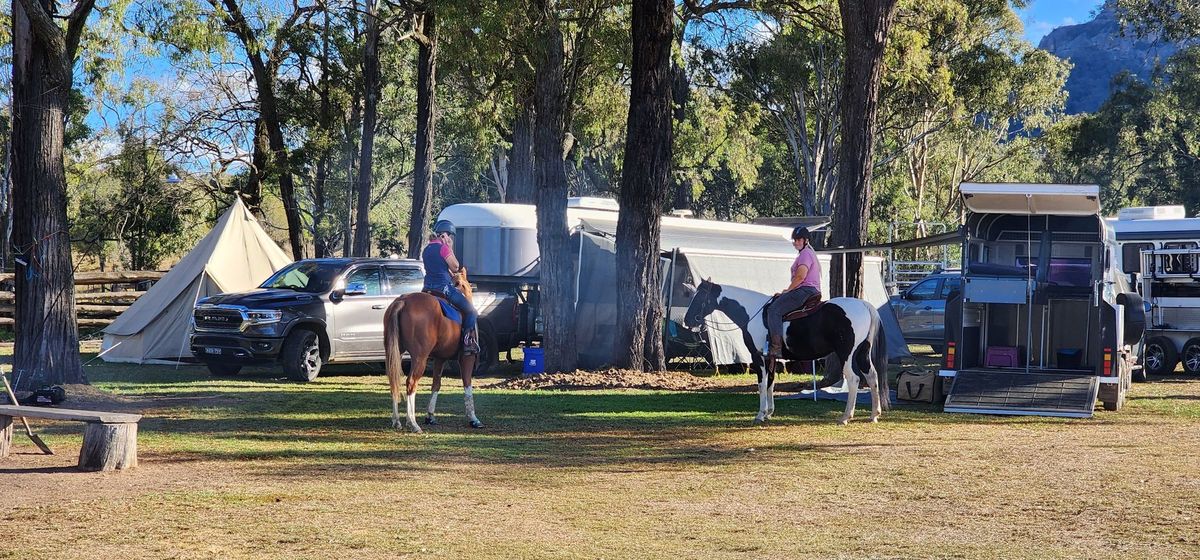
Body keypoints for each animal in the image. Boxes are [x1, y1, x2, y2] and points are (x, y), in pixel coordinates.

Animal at [381, 267, 480, 434]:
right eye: (464, 285)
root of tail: (403, 301)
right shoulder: (467, 358)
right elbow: (467, 384)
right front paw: (473, 418)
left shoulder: (440, 359)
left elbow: (436, 385)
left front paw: (430, 416)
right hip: (419, 357)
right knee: (411, 383)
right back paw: (412, 423)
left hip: (394, 353)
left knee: (394, 382)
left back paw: (397, 421)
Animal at [681, 280, 888, 424]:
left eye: (699, 298)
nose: (687, 320)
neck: (753, 313)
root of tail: (864, 305)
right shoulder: (771, 357)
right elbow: (771, 382)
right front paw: (769, 413)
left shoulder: (758, 357)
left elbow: (761, 384)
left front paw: (760, 414)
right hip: (862, 352)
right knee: (872, 376)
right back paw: (874, 415)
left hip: (847, 354)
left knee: (854, 379)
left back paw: (845, 417)